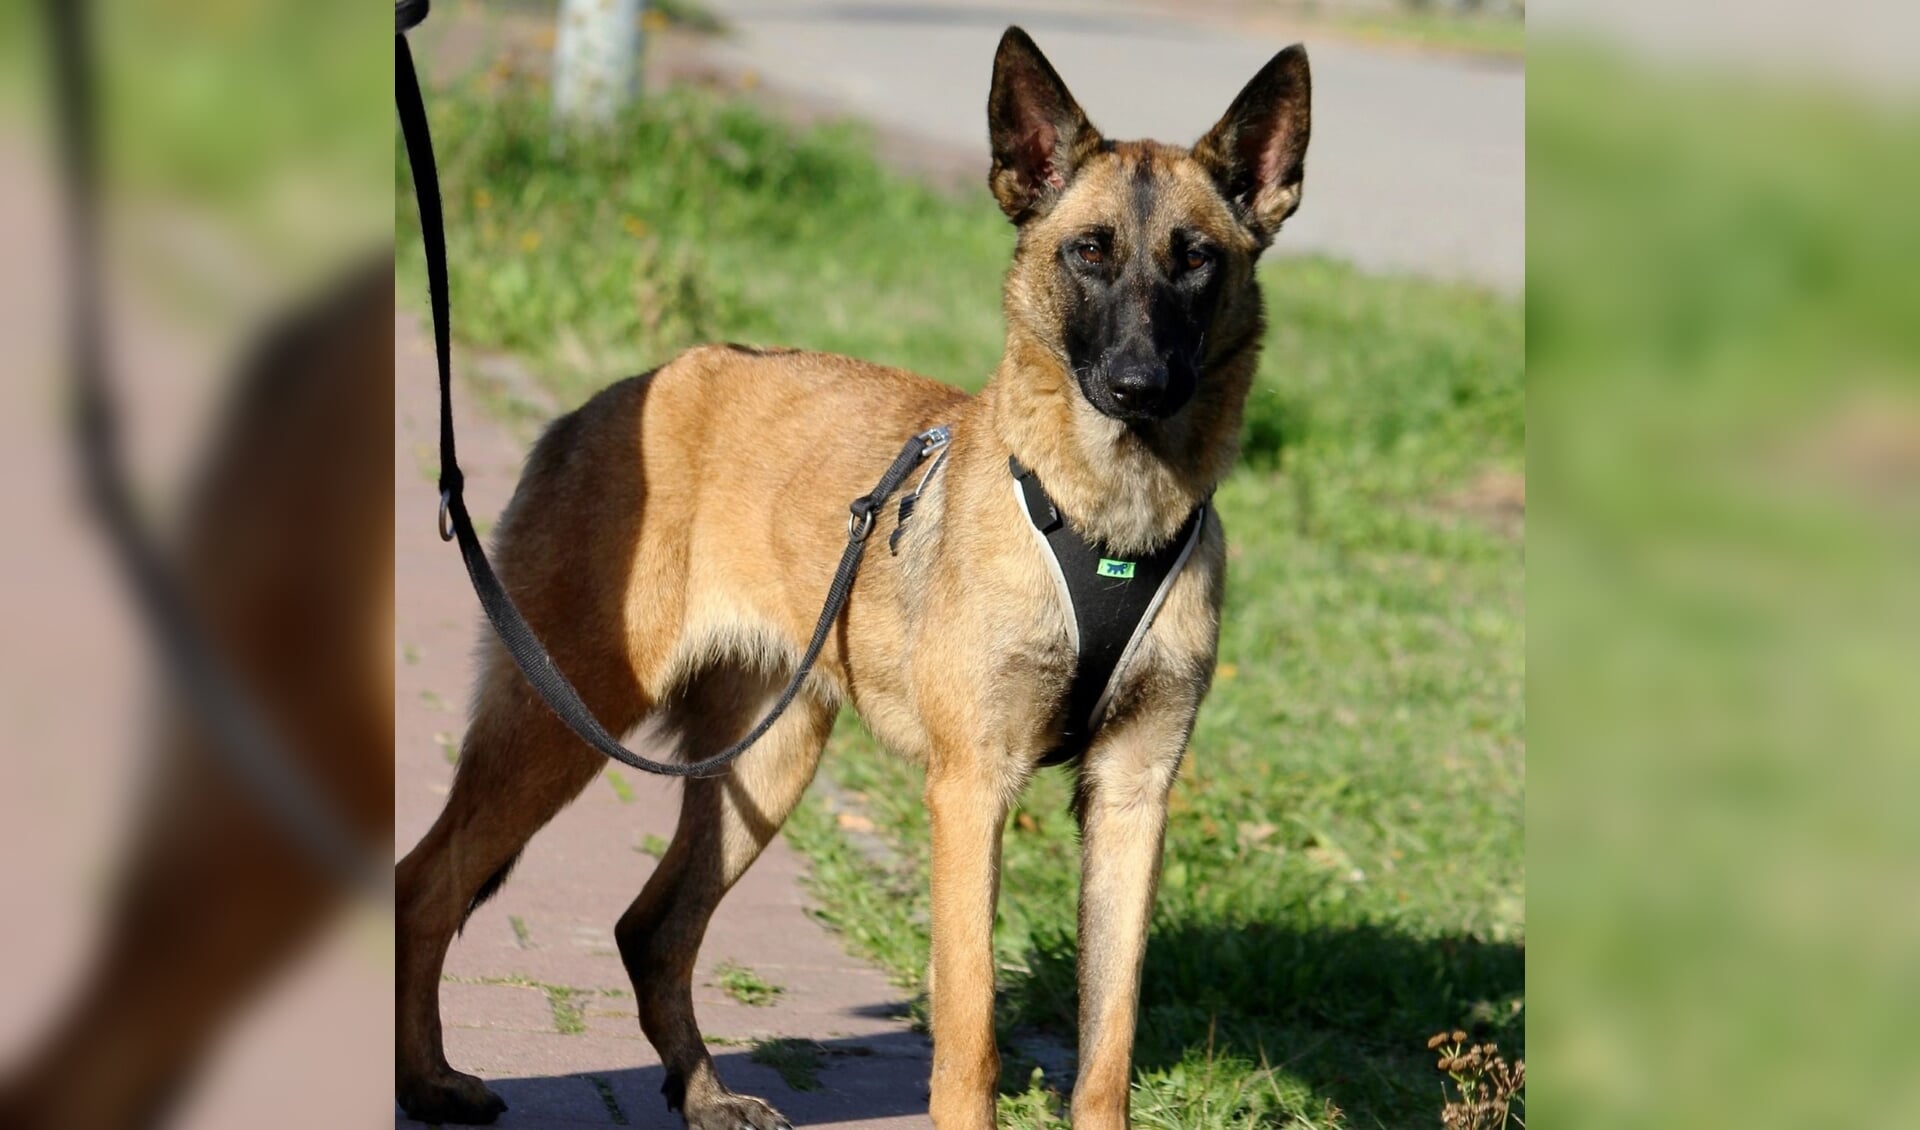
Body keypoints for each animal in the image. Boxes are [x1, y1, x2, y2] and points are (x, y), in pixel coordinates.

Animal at [397, 26, 1313, 1128]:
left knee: (650, 927)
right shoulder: (971, 789)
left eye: (1197, 260)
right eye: (1089, 251)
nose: (1138, 385)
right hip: (562, 723)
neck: (1107, 519)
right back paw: (431, 1078)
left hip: (767, 758)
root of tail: (606, 398)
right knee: (424, 885)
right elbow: (970, 1033)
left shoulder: (1133, 799)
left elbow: (1109, 1043)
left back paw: (703, 1094)